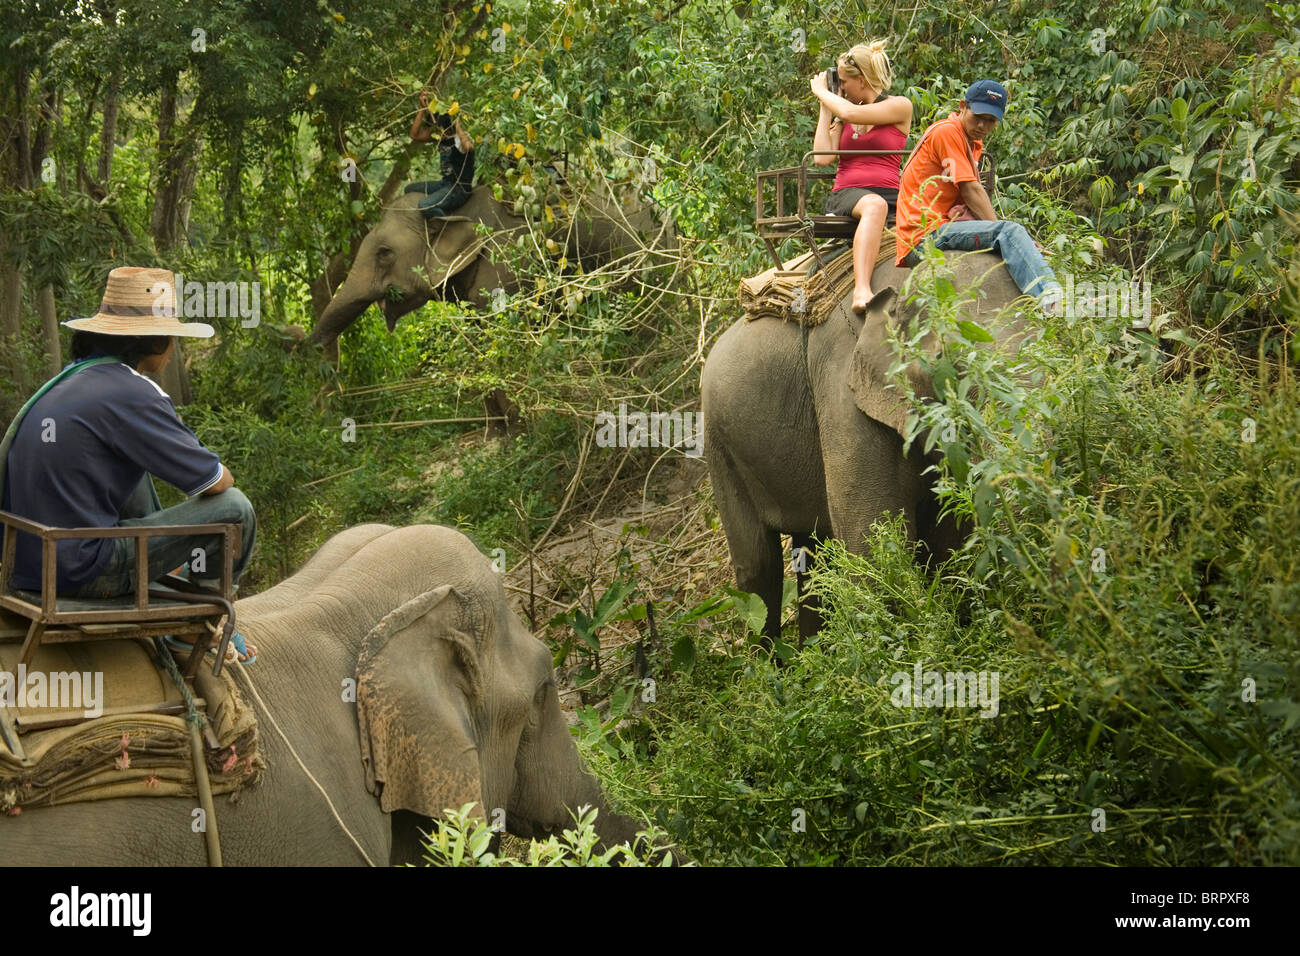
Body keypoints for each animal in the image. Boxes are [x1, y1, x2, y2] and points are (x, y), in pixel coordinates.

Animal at [701, 250, 1032, 639]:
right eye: (952, 367)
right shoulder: (843, 393)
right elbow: (872, 546)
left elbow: (946, 538)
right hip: (718, 443)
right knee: (758, 566)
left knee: (813, 553)